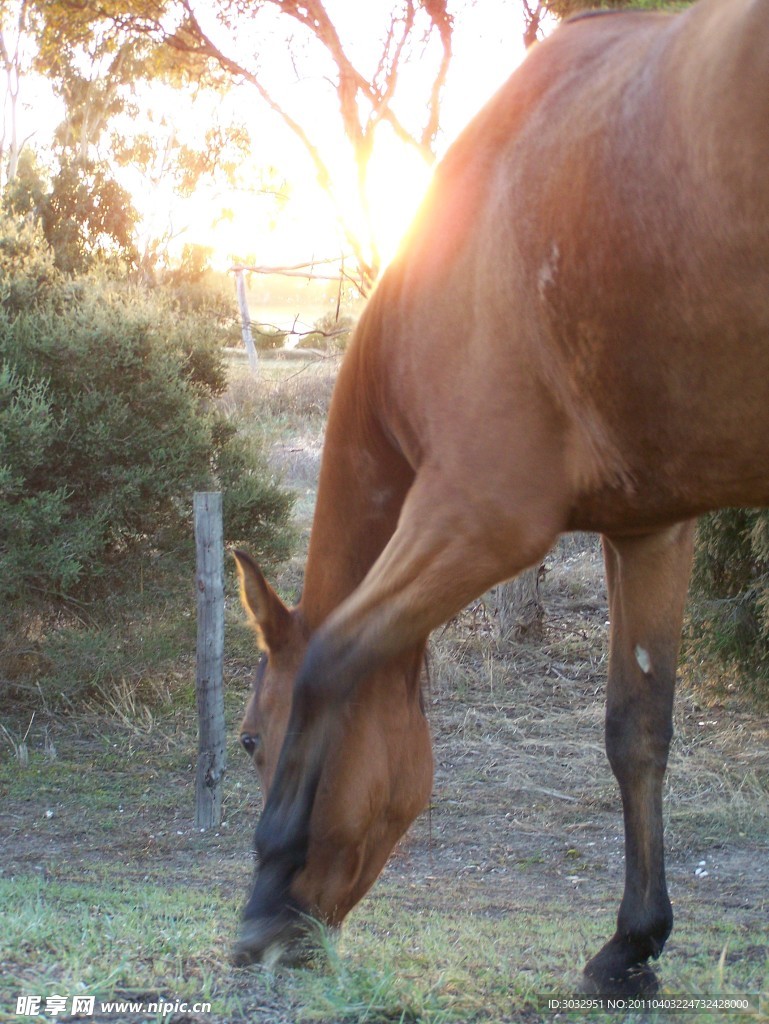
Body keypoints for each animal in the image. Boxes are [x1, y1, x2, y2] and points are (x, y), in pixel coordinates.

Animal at [231, 0, 769, 991]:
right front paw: (630, 945)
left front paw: (263, 900)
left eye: (253, 741)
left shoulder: (477, 518)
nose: (308, 932)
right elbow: (636, 730)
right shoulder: (649, 528)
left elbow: (331, 657)